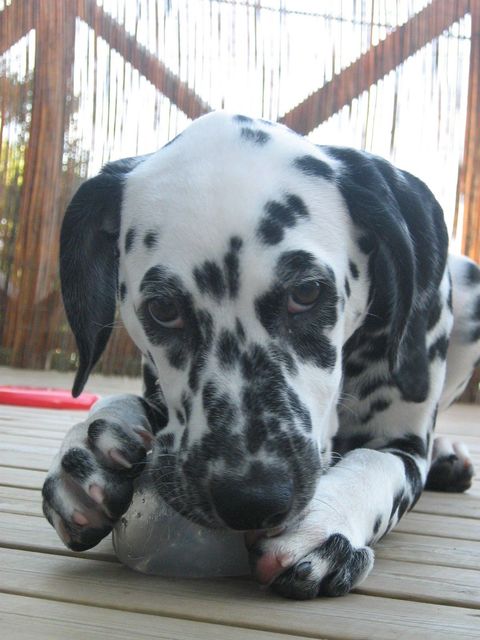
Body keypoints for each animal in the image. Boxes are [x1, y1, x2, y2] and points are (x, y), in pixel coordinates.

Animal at [42, 112, 480, 599]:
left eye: (306, 292)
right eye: (163, 308)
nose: (252, 498)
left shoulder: (402, 442)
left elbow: (375, 464)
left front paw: (323, 524)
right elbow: (116, 405)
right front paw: (87, 448)